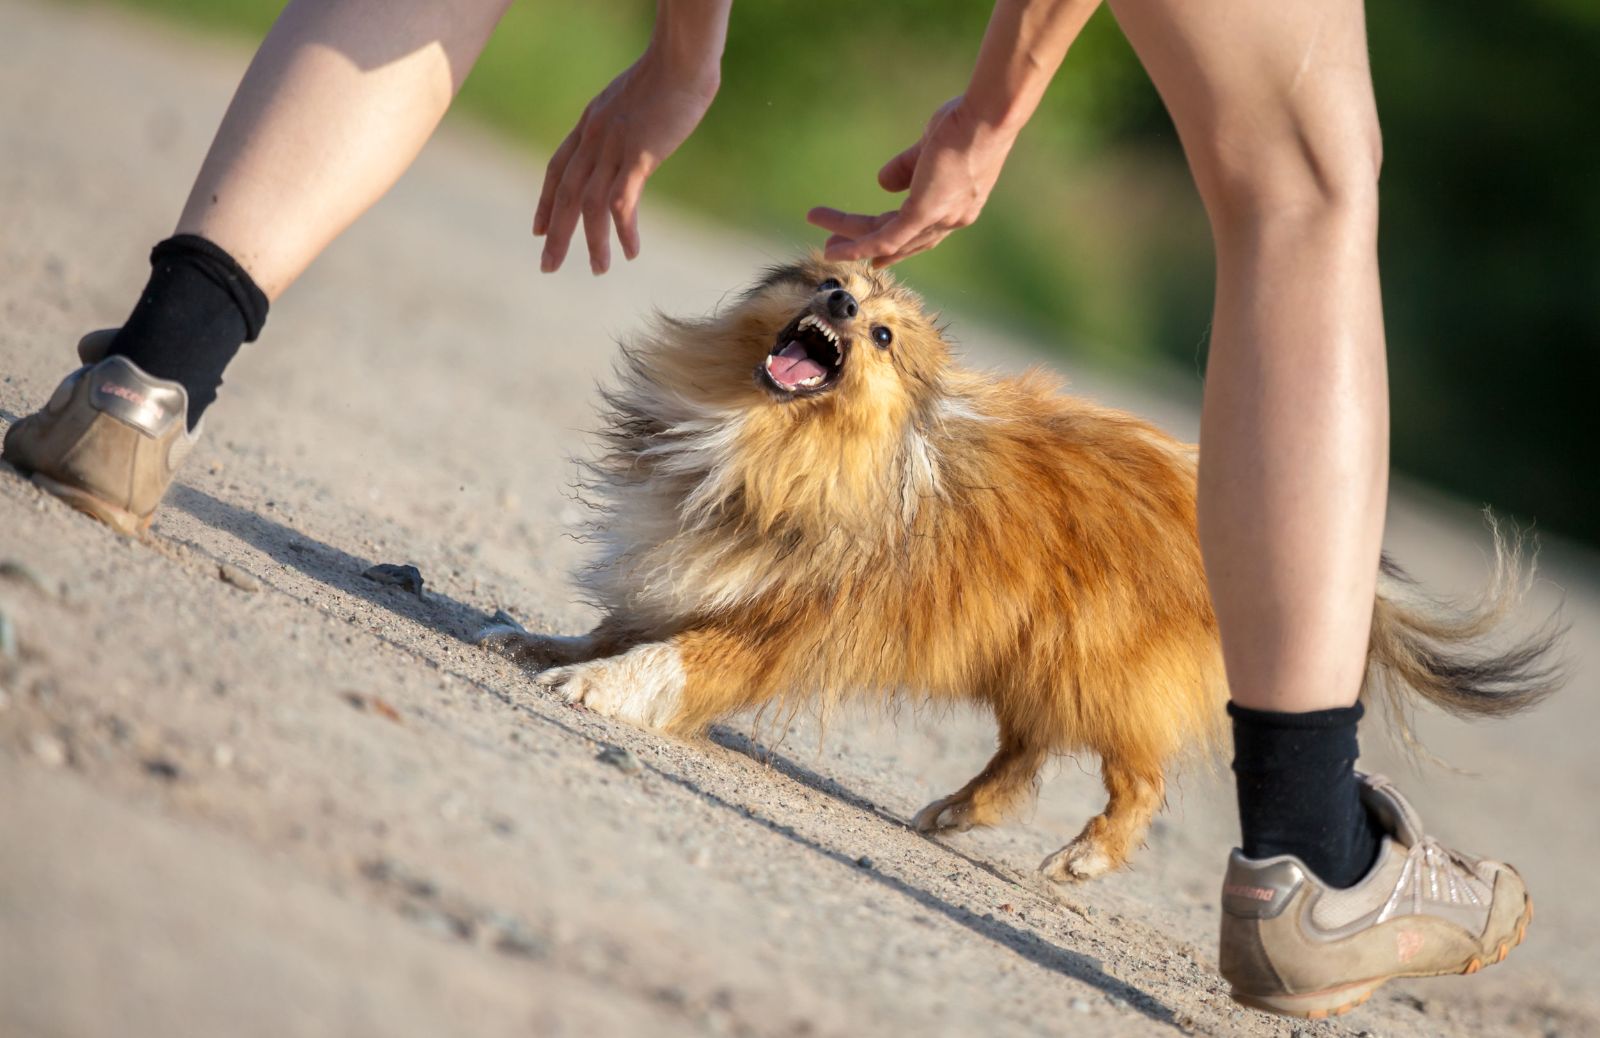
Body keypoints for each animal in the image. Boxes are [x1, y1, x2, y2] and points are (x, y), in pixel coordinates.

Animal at [476, 254, 1561, 876]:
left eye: (882, 335)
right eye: (833, 287)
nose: (840, 300)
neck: (769, 441)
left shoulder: (778, 625)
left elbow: (673, 658)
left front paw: (596, 688)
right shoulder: (688, 564)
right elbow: (622, 622)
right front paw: (546, 645)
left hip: (1096, 667)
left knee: (1138, 778)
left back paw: (1083, 858)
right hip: (1032, 654)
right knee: (1024, 755)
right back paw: (955, 811)